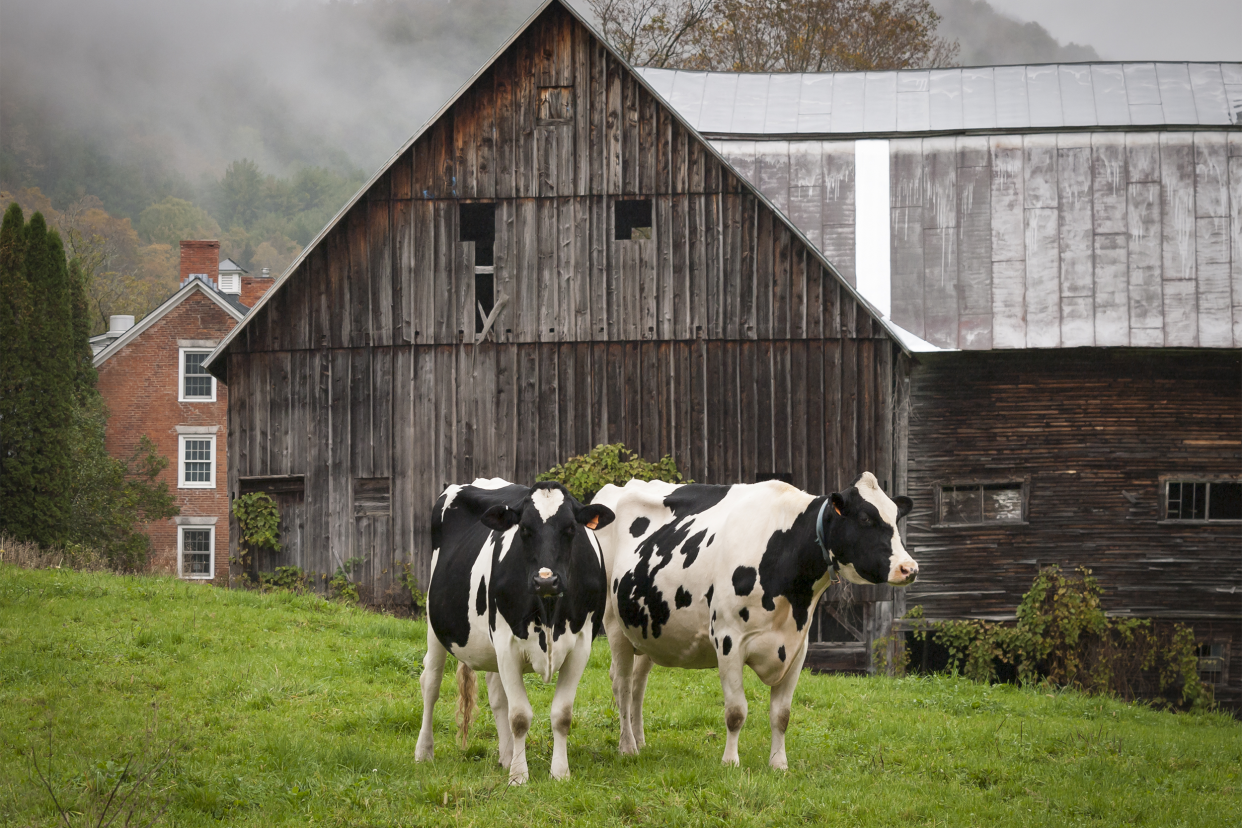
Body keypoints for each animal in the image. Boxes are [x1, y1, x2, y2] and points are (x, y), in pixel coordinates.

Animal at [414, 479, 613, 784]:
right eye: (524, 529)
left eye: (571, 528)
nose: (546, 580)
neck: (549, 611)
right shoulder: (507, 644)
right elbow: (519, 716)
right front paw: (519, 776)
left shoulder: (582, 644)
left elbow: (562, 714)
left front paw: (560, 772)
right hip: (435, 625)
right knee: (431, 683)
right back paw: (424, 751)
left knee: (497, 698)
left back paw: (506, 756)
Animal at [586, 471, 919, 769]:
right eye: (864, 518)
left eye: (895, 517)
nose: (909, 568)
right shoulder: (729, 640)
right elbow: (736, 711)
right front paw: (730, 762)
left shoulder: (797, 647)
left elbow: (782, 714)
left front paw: (779, 764)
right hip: (614, 624)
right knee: (622, 684)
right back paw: (627, 747)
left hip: (646, 629)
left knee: (638, 684)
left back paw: (640, 740)